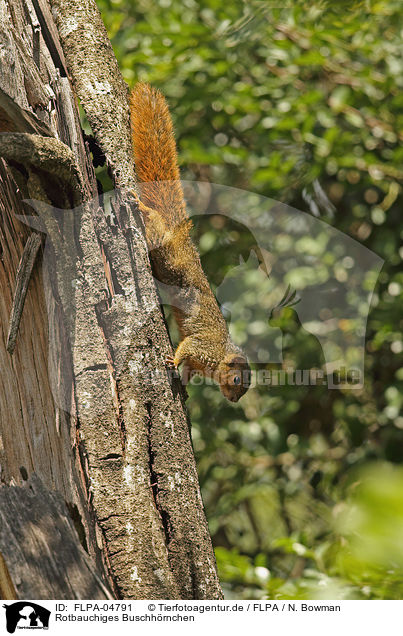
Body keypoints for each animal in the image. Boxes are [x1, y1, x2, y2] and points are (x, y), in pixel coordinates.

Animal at [130, 83, 249, 402]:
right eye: (237, 380)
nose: (234, 400)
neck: (218, 360)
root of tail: (182, 238)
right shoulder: (202, 348)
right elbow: (186, 349)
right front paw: (173, 359)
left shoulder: (199, 364)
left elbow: (188, 370)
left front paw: (183, 387)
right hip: (169, 259)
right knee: (156, 230)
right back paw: (142, 208)